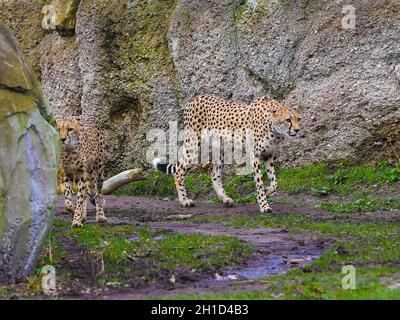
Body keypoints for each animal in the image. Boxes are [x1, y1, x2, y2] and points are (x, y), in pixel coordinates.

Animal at [152, 95, 300, 215]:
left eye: (298, 119)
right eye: (288, 120)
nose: (297, 130)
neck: (273, 129)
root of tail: (195, 99)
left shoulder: (268, 155)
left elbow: (275, 183)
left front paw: (266, 190)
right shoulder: (255, 156)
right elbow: (259, 182)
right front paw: (264, 205)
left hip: (221, 150)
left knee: (214, 175)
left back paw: (225, 199)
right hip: (194, 147)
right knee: (179, 171)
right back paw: (184, 200)